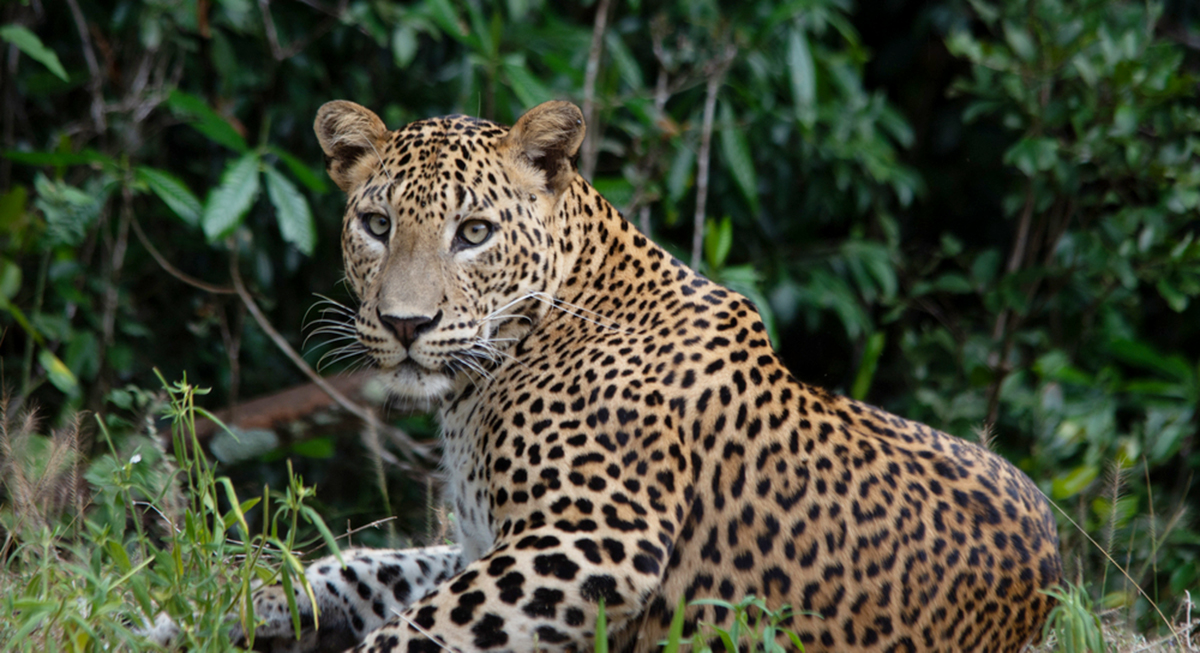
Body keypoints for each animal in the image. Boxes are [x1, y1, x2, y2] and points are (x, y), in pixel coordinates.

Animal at [241, 98, 1060, 653]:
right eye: (376, 225)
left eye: (473, 233)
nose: (406, 324)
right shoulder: (480, 541)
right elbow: (366, 567)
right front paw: (249, 602)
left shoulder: (595, 535)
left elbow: (414, 630)